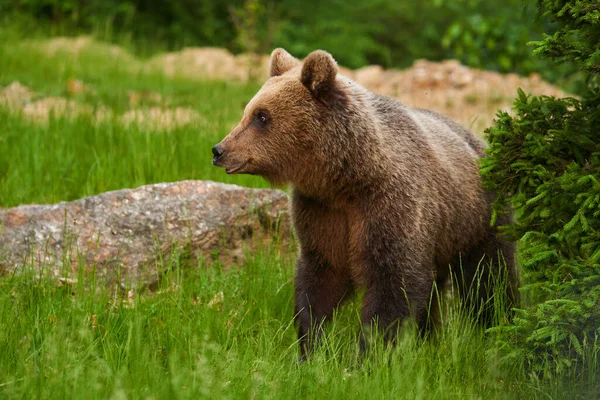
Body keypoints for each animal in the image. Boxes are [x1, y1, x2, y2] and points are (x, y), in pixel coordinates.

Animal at [212, 48, 520, 358]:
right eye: (248, 112)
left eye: (262, 116)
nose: (219, 150)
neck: (348, 179)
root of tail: (480, 143)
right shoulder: (322, 212)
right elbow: (320, 277)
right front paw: (310, 346)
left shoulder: (390, 207)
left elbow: (395, 284)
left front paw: (367, 354)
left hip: (478, 218)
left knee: (489, 278)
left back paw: (498, 324)